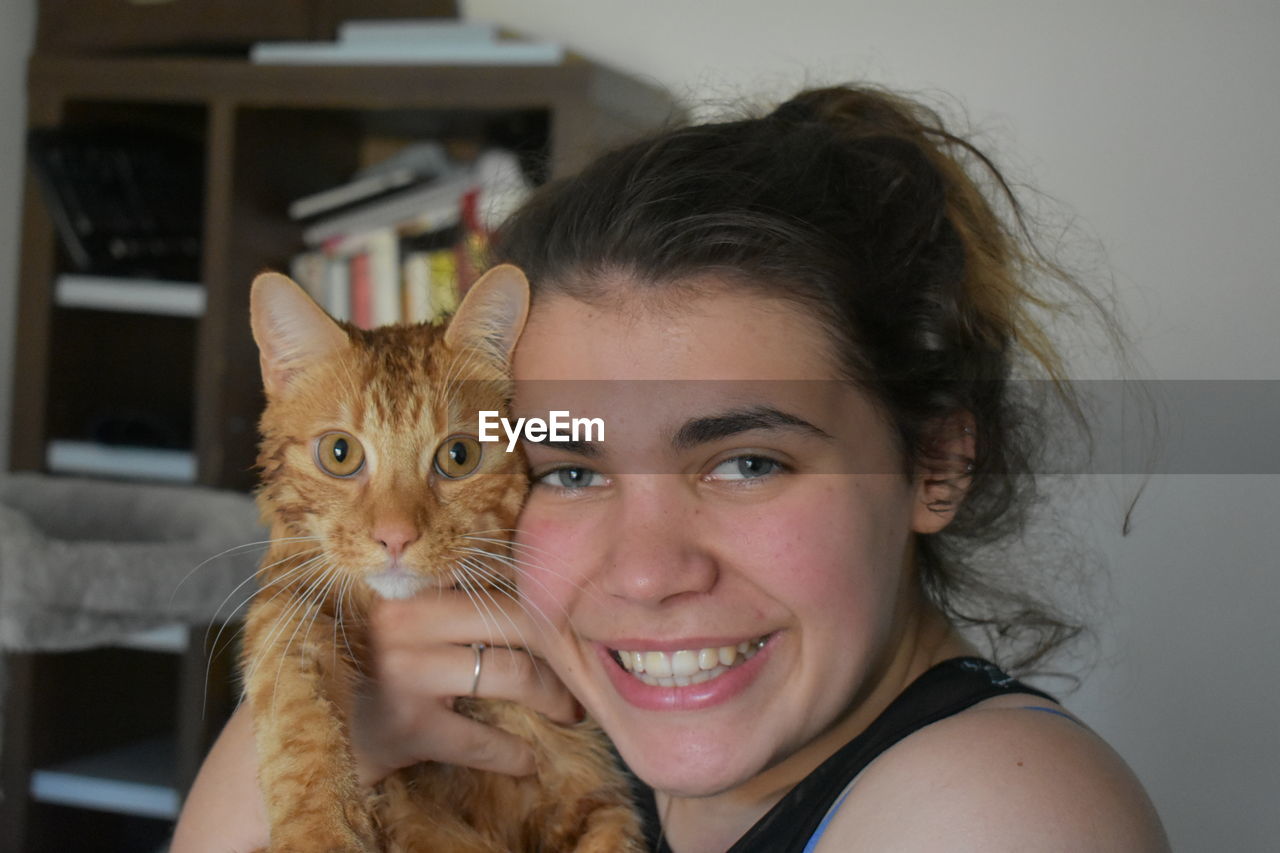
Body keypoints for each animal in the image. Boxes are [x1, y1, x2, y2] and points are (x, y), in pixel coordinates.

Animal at [243, 262, 645, 845]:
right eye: (340, 453)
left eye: (459, 456)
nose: (395, 537)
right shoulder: (287, 599)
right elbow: (295, 706)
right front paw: (320, 828)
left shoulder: (593, 791)